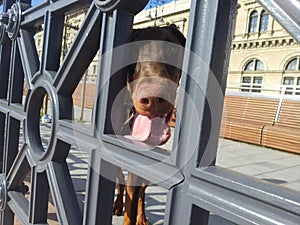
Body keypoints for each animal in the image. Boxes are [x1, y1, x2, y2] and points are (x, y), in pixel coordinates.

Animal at [113, 24, 185, 225]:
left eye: (172, 50)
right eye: (132, 51)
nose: (153, 99)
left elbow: (136, 193)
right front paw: (120, 205)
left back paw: (142, 217)